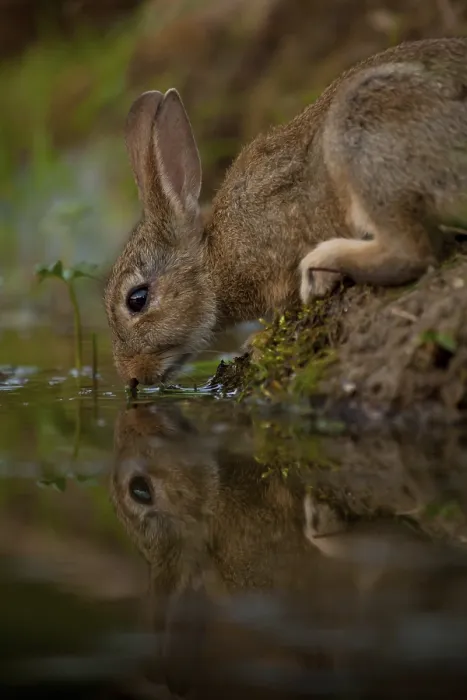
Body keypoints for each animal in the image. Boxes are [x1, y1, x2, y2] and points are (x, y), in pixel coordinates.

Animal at [104, 38, 467, 386]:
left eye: (137, 299)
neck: (214, 257)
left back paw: (323, 266)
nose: (131, 377)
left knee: (410, 253)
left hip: (363, 140)